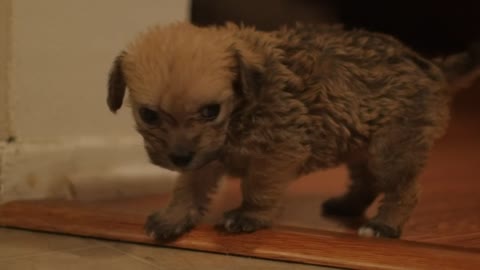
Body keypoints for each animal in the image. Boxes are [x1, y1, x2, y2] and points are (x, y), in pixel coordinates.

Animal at [108, 22, 480, 239]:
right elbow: (188, 188)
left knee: (404, 189)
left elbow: (258, 187)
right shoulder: (205, 157)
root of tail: (432, 67)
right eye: (149, 115)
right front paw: (173, 218)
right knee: (367, 181)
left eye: (211, 111)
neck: (240, 111)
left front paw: (249, 216)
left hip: (391, 151)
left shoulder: (276, 153)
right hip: (361, 144)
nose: (179, 156)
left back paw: (384, 224)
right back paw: (347, 205)